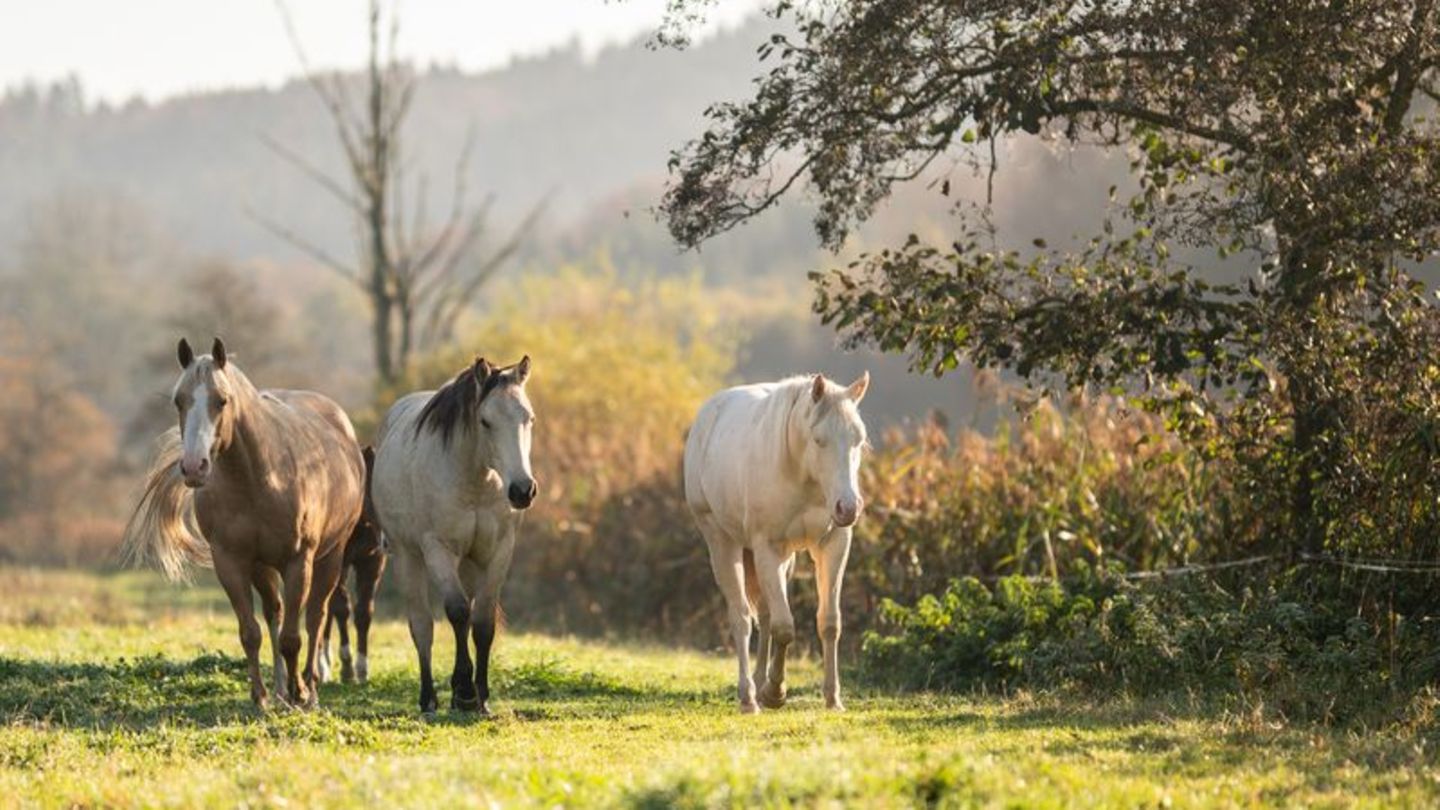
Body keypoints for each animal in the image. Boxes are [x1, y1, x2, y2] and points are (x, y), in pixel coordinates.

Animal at [121, 334, 365, 706]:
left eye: (222, 401)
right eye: (178, 400)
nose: (193, 467)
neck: (260, 477)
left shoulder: (298, 561)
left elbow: (293, 637)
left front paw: (300, 694)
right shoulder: (232, 561)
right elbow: (251, 632)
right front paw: (261, 697)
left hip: (329, 557)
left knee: (314, 618)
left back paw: (308, 689)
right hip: (263, 566)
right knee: (274, 612)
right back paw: (280, 689)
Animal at [315, 443, 383, 683]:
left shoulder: (372, 562)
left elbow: (364, 612)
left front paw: (362, 668)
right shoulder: (340, 563)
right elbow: (341, 608)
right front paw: (346, 667)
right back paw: (322, 665)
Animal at [371, 353, 535, 711]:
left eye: (529, 418)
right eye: (485, 422)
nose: (522, 491)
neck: (476, 480)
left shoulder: (498, 551)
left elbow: (482, 621)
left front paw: (480, 696)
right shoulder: (438, 549)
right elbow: (458, 612)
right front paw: (464, 690)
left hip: (470, 563)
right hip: (408, 557)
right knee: (422, 626)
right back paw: (428, 698)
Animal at [682, 368, 869, 709]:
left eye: (858, 440)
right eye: (819, 440)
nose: (848, 507)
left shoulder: (833, 545)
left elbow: (829, 622)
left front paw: (832, 698)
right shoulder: (766, 547)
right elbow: (784, 628)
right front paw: (774, 693)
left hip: (783, 559)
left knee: (765, 614)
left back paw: (758, 682)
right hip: (723, 543)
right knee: (742, 616)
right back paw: (749, 697)